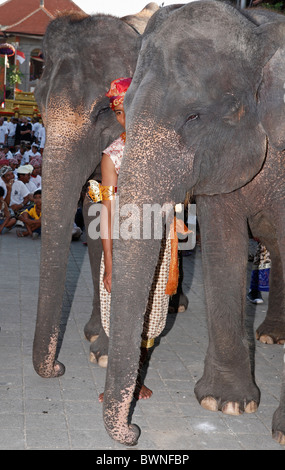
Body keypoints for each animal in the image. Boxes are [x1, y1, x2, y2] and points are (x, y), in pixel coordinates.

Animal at [100, 1, 285, 446]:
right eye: (126, 109)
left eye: (194, 116)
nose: (134, 431)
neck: (260, 34)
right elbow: (222, 249)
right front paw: (225, 403)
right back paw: (272, 336)